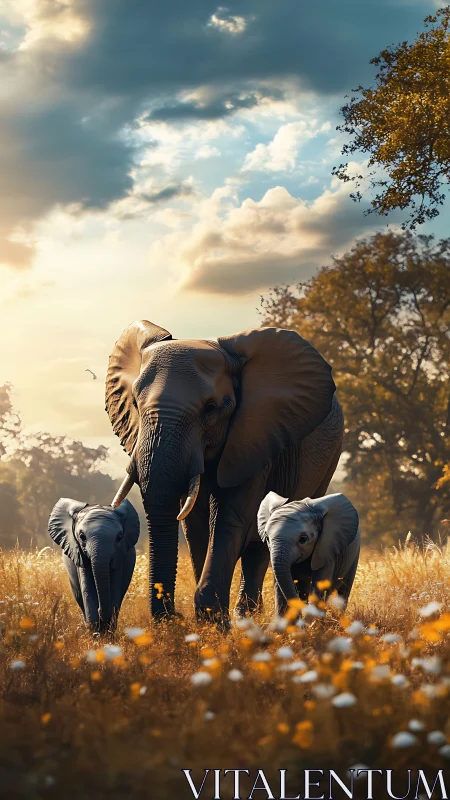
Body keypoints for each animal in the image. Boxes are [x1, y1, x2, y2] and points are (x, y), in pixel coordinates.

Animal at [48, 498, 140, 632]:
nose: (99, 609)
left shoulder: (120, 556)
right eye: (82, 537)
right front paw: (96, 632)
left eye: (119, 538)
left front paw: (107, 631)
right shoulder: (79, 554)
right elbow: (87, 588)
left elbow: (115, 587)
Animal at [105, 319, 344, 623]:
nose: (174, 616)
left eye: (211, 408)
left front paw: (213, 621)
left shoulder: (253, 437)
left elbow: (229, 517)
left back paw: (256, 616)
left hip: (329, 459)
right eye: (135, 404)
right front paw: (205, 620)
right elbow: (194, 523)